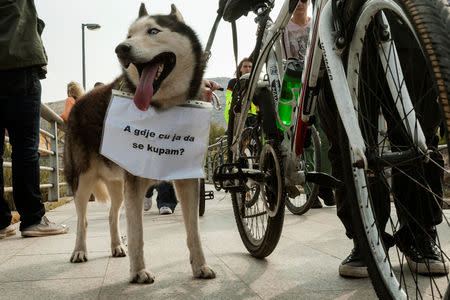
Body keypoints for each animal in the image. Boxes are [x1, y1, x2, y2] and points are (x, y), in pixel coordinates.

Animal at [64, 3, 215, 282]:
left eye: (153, 31)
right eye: (129, 35)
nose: (120, 48)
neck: (164, 107)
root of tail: (79, 100)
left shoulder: (186, 178)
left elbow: (194, 231)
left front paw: (200, 266)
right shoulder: (133, 184)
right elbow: (137, 233)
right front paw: (139, 272)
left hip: (116, 185)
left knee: (112, 215)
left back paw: (116, 246)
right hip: (83, 180)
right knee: (83, 220)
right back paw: (79, 251)